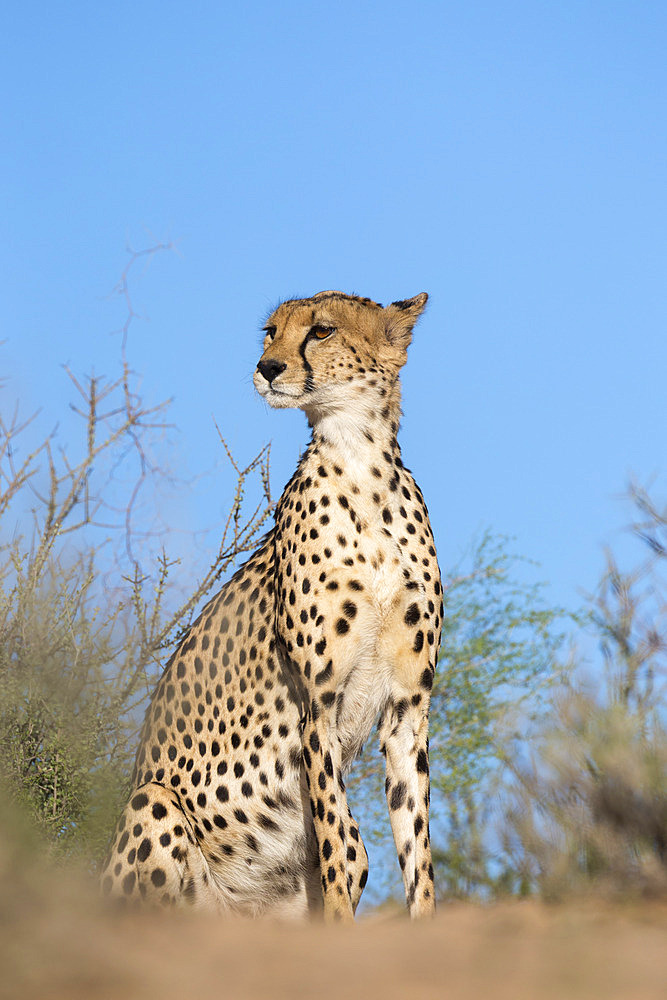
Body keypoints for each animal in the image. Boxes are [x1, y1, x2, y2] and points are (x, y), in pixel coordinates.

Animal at [100, 292, 444, 920]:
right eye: (270, 331)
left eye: (322, 330)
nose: (267, 368)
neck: (361, 465)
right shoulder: (317, 705)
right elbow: (331, 844)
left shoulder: (409, 709)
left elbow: (417, 845)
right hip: (152, 803)